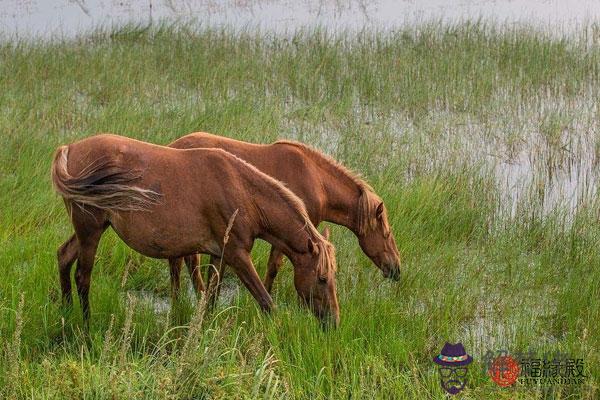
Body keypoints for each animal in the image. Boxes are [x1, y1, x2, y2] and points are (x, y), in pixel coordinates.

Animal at [52, 134, 338, 328]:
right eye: (322, 278)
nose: (334, 321)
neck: (244, 192)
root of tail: (70, 149)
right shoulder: (237, 255)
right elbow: (267, 303)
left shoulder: (220, 255)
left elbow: (211, 297)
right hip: (90, 232)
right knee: (83, 277)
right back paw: (86, 327)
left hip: (89, 231)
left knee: (64, 257)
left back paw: (65, 313)